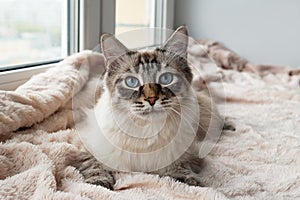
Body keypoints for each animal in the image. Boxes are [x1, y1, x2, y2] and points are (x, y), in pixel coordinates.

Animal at [72, 26, 226, 189]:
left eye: (166, 79)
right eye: (131, 82)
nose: (151, 99)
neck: (147, 130)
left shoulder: (190, 155)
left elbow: (178, 169)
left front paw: (189, 181)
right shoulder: (86, 147)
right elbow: (94, 166)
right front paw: (99, 183)